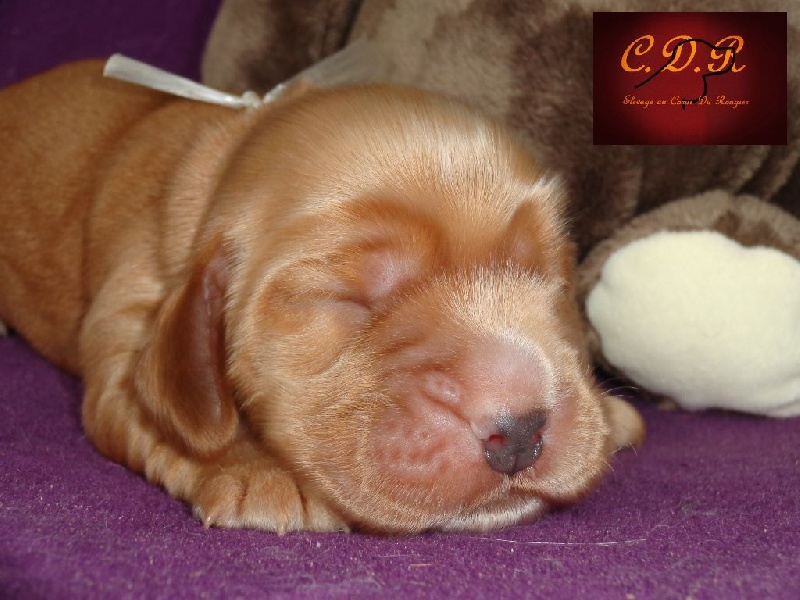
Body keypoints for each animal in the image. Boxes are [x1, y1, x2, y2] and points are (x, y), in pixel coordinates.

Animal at [0, 60, 643, 533]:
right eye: (346, 299)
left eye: (548, 276)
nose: (520, 430)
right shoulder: (127, 333)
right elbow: (179, 416)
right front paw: (253, 470)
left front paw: (610, 414)